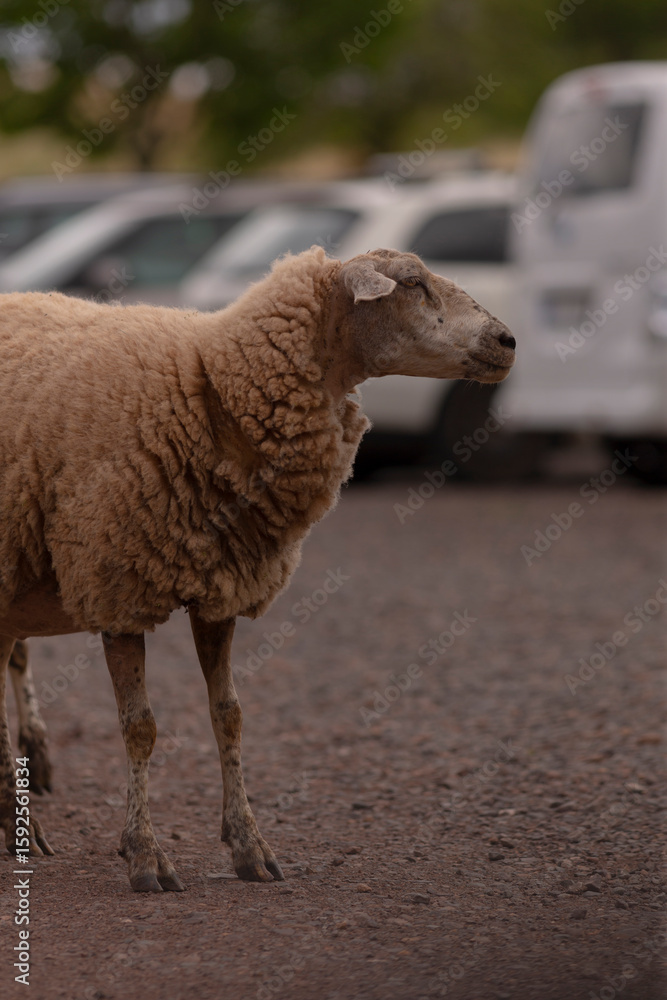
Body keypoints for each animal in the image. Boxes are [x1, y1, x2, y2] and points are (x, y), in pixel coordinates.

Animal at [0, 246, 515, 892]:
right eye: (413, 283)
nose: (508, 340)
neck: (212, 381)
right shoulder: (115, 579)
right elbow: (140, 727)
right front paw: (145, 855)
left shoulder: (221, 586)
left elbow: (230, 716)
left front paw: (249, 846)